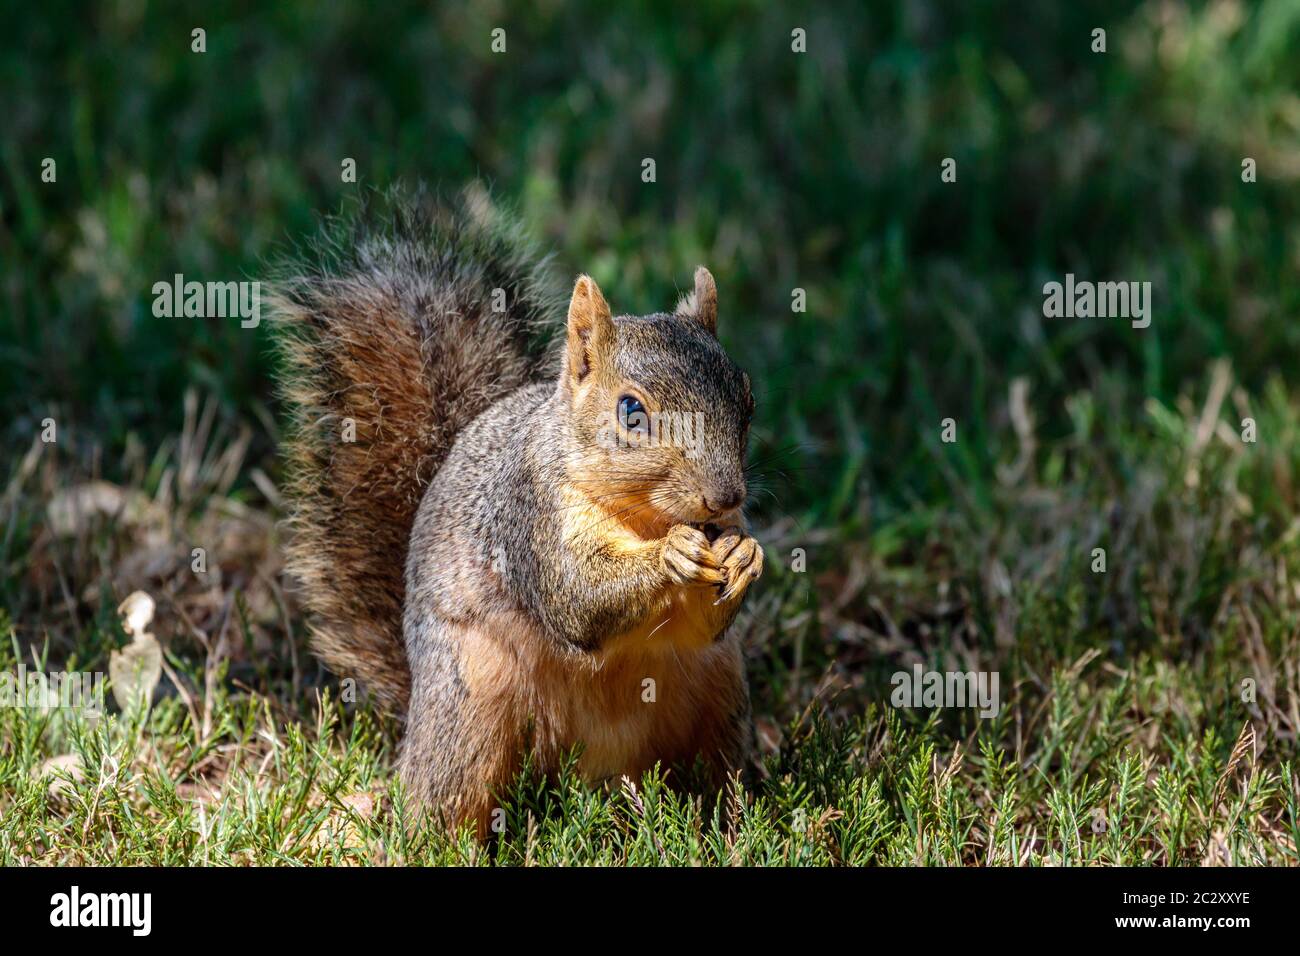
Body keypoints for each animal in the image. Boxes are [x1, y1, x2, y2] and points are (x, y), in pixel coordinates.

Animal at [274, 191, 759, 832]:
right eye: (630, 411)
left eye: (747, 400)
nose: (726, 499)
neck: (643, 516)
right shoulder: (526, 517)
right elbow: (576, 597)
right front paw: (672, 556)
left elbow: (707, 624)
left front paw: (746, 555)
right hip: (472, 711)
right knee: (446, 797)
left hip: (718, 701)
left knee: (715, 779)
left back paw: (731, 825)